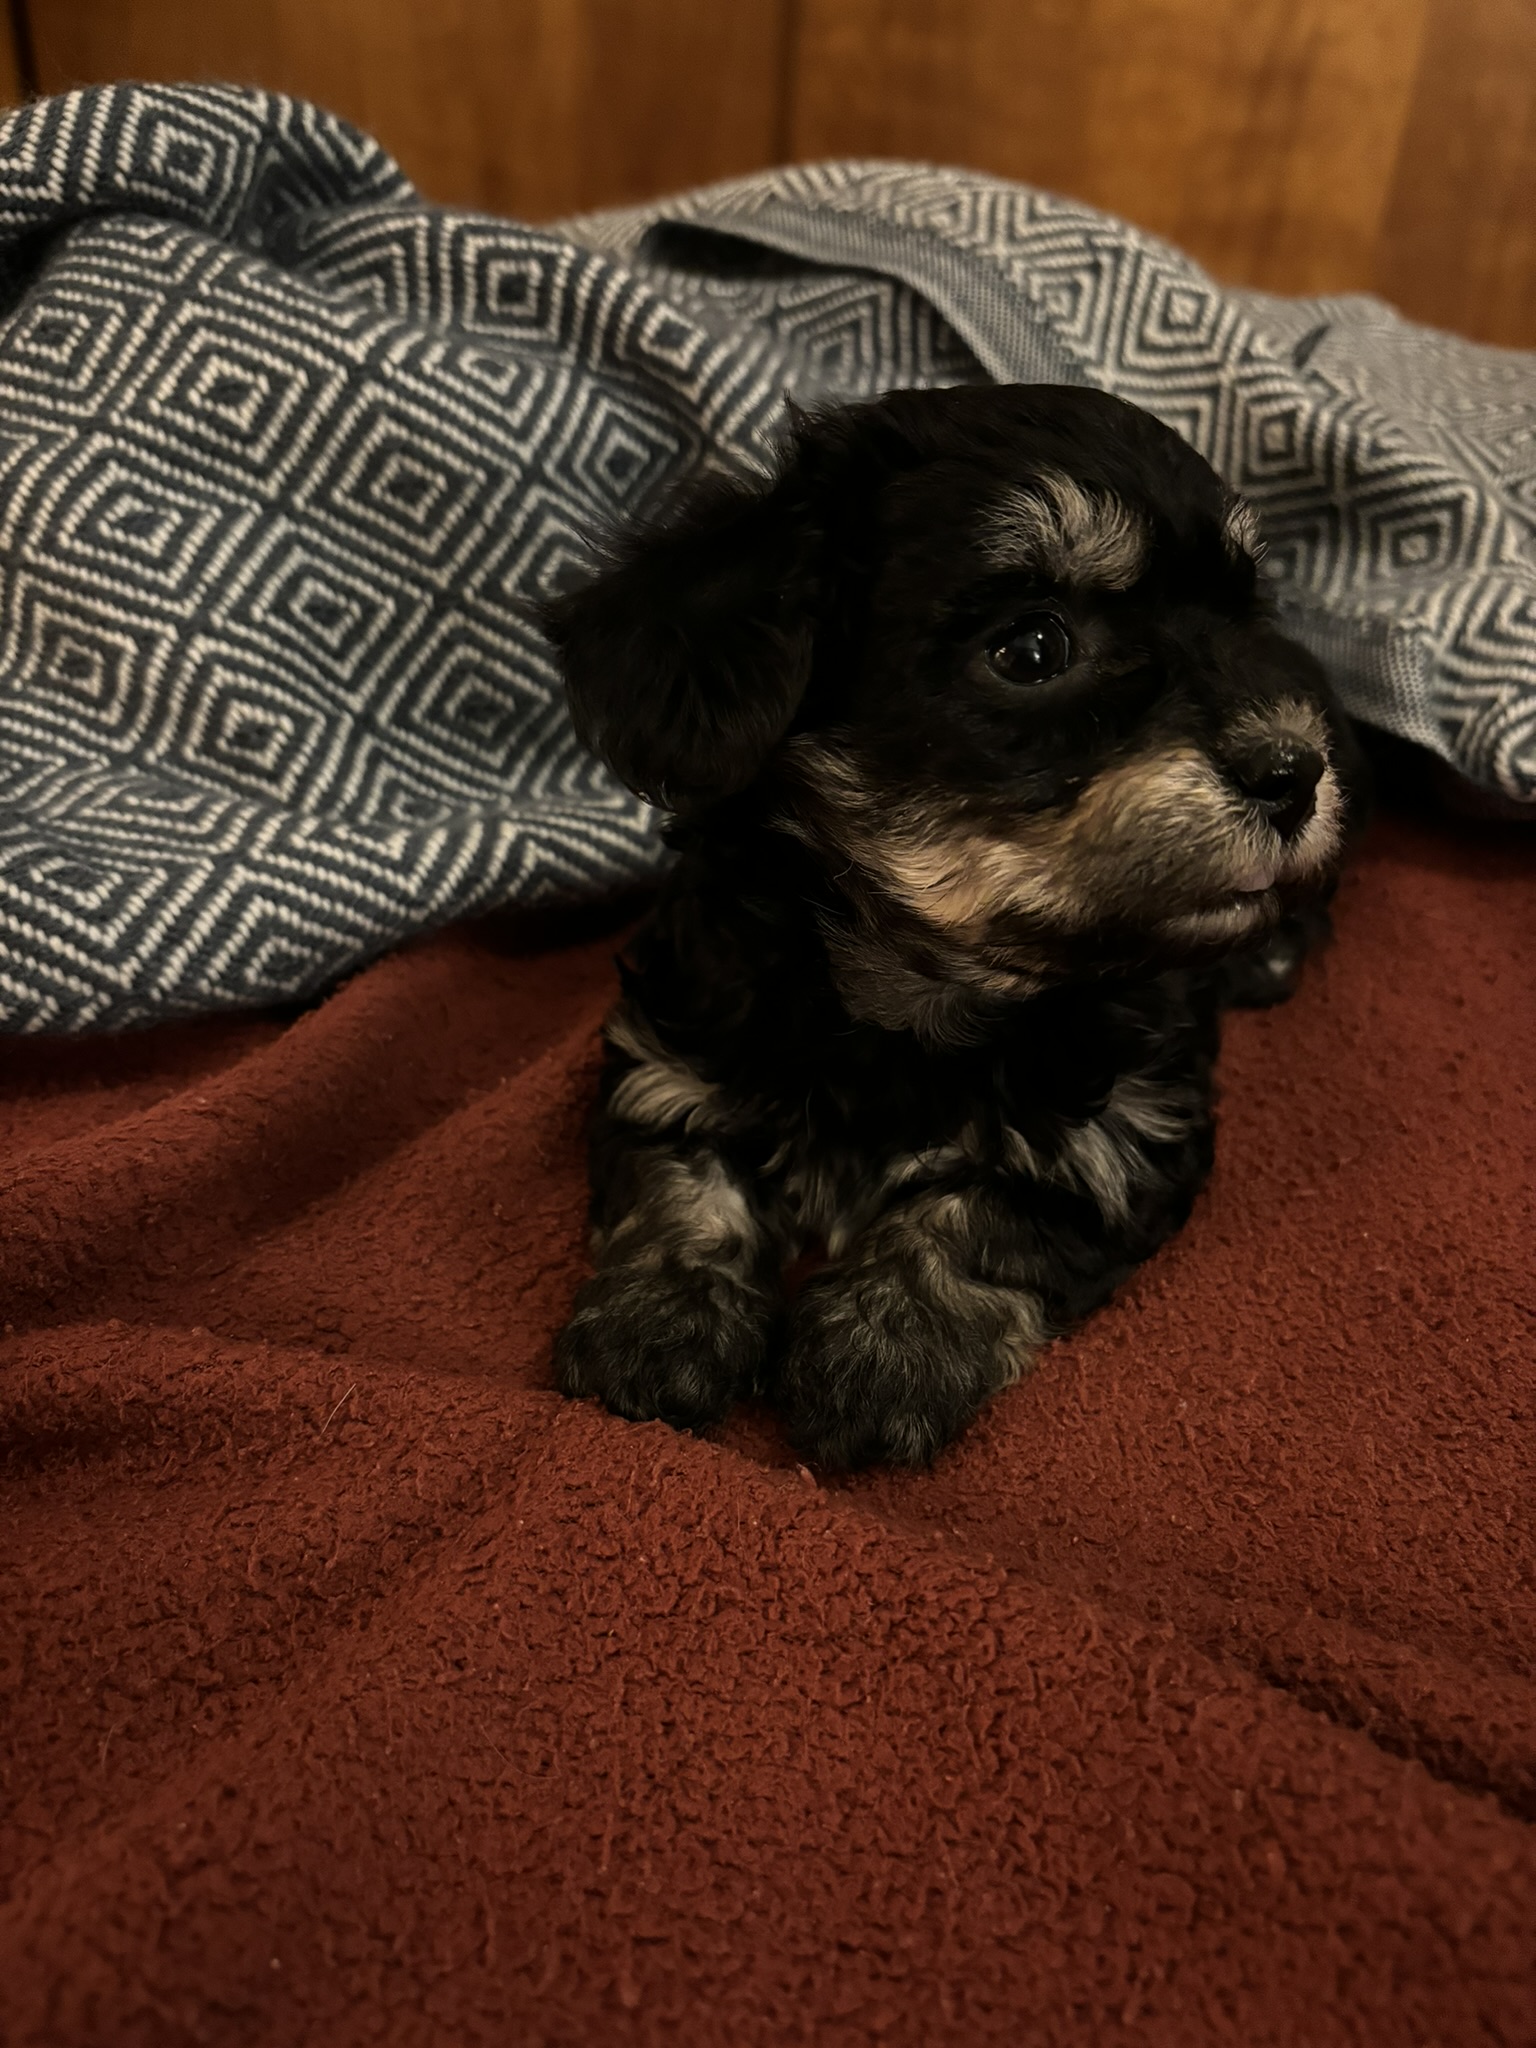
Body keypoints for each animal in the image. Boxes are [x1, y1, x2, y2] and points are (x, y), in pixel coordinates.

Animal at [540, 387, 1368, 1474]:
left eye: (1244, 617)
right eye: (1032, 648)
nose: (1292, 771)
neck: (912, 990)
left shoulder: (1123, 1129)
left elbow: (991, 1210)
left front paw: (887, 1349)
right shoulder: (675, 1050)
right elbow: (675, 1172)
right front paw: (658, 1320)